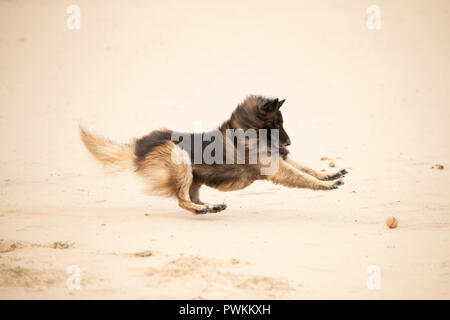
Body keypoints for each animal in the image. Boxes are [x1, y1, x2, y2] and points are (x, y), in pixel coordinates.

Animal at [81, 95, 348, 215]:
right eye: (276, 123)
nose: (289, 143)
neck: (246, 130)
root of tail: (139, 145)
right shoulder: (278, 168)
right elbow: (305, 177)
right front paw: (327, 185)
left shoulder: (281, 159)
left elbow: (308, 169)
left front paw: (330, 174)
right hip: (181, 161)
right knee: (182, 200)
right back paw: (204, 209)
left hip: (193, 175)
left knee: (191, 197)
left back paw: (210, 206)